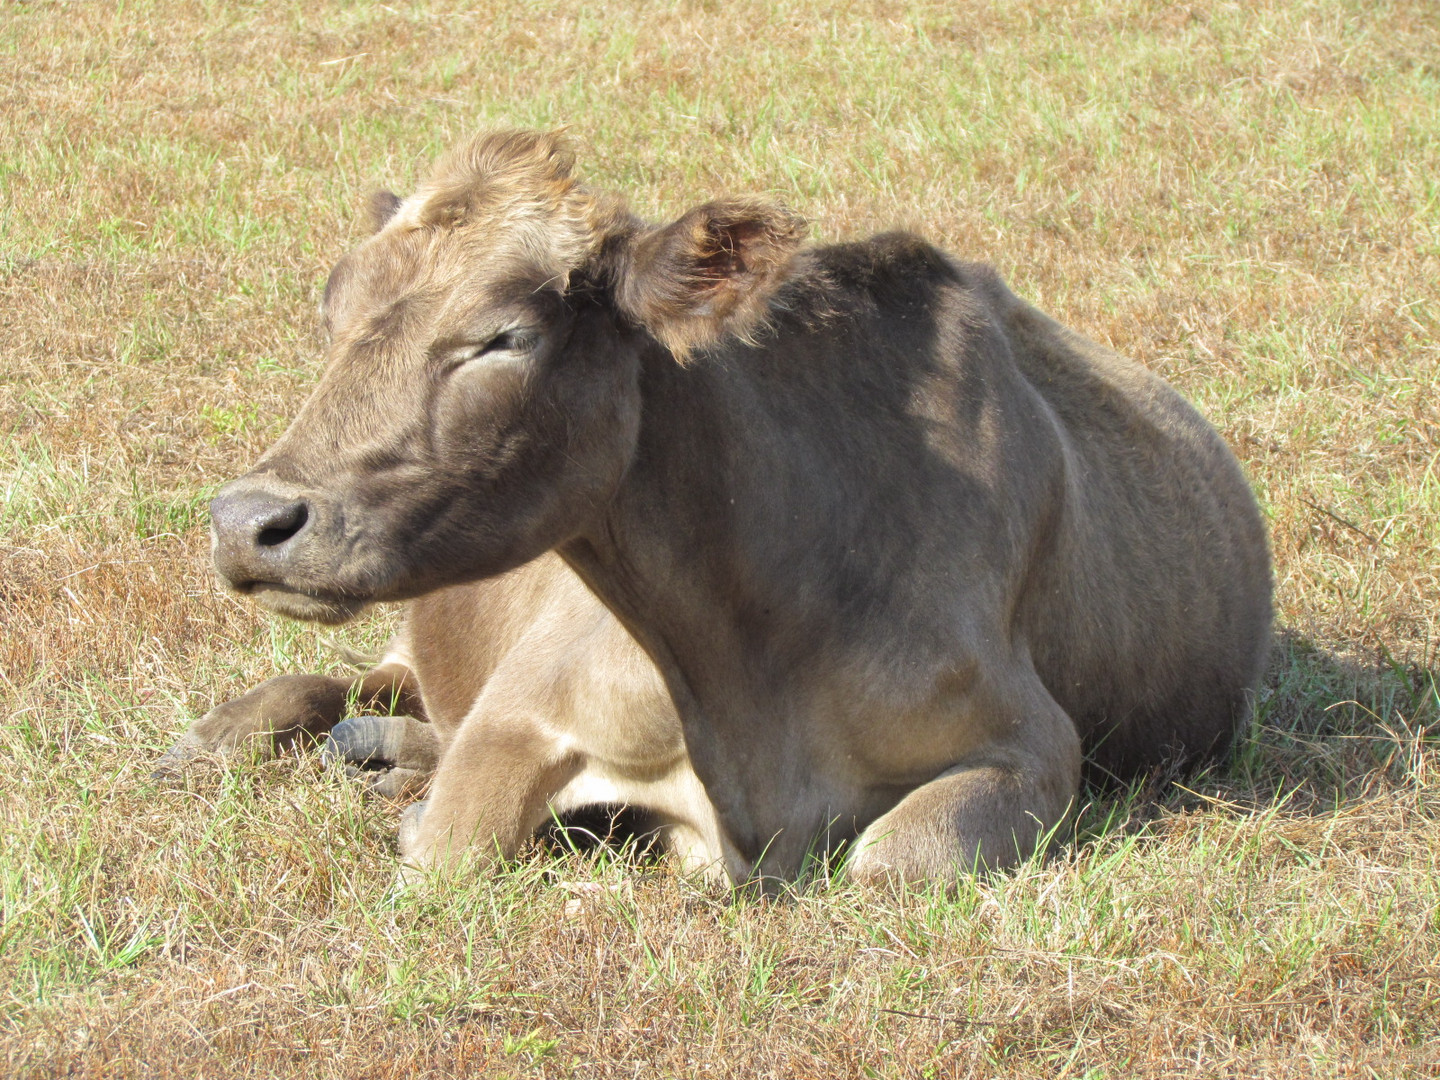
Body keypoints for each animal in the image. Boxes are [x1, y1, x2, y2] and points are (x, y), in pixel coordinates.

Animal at [171, 128, 1272, 887]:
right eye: (333, 314)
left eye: (501, 337)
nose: (248, 522)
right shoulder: (526, 707)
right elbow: (449, 851)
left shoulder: (1035, 742)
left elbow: (890, 863)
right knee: (346, 679)